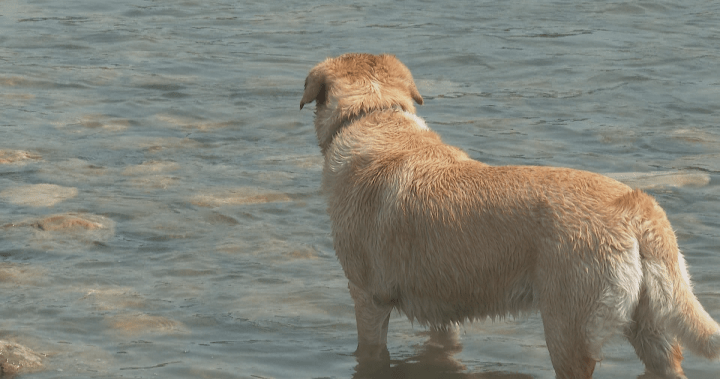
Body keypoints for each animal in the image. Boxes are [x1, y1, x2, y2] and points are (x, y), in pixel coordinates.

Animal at [300, 53, 720, 379]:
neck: (374, 115)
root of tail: (634, 205)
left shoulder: (368, 297)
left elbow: (369, 352)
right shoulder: (442, 308)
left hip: (568, 332)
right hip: (652, 326)